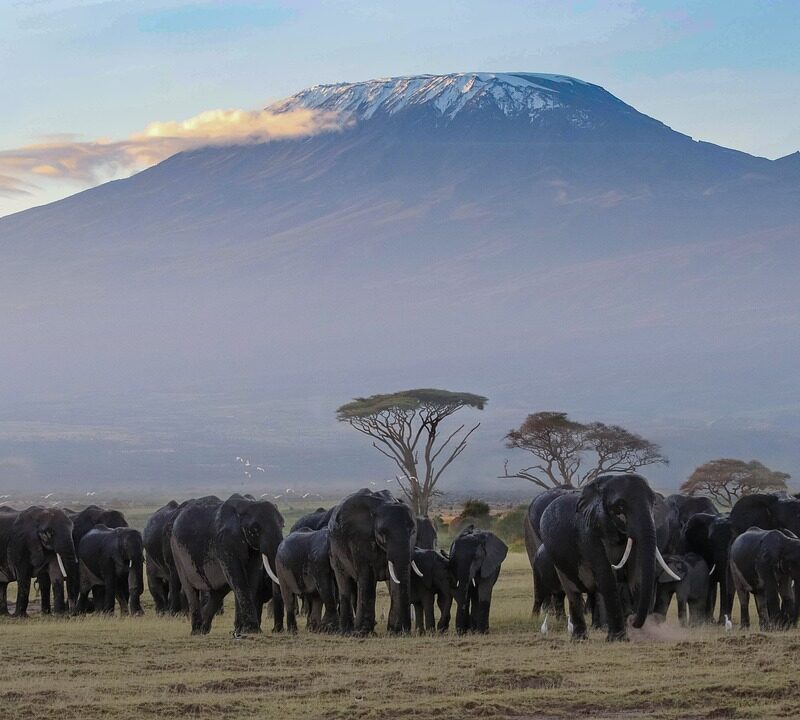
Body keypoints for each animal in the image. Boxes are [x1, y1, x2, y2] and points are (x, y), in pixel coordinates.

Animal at [170, 496, 282, 636]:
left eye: (283, 525)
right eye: (255, 530)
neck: (246, 505)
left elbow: (251, 578)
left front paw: (241, 630)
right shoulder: (225, 542)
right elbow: (239, 578)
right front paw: (252, 630)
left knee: (219, 590)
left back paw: (203, 629)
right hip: (177, 553)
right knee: (190, 589)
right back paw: (196, 631)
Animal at [326, 490, 416, 636]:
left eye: (412, 531)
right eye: (383, 533)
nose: (404, 630)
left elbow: (395, 580)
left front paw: (397, 632)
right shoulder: (359, 538)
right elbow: (366, 576)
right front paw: (362, 632)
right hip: (334, 552)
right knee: (344, 582)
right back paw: (346, 631)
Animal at [536, 472, 676, 640]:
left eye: (653, 503)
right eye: (620, 507)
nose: (632, 619)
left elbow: (636, 575)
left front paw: (642, 635)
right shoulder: (588, 533)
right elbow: (606, 576)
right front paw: (618, 639)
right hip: (558, 561)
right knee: (572, 592)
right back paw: (579, 639)